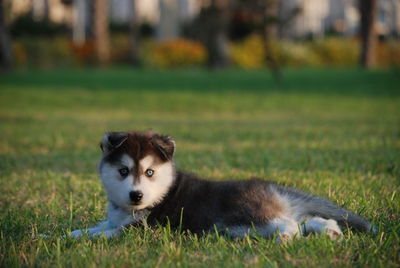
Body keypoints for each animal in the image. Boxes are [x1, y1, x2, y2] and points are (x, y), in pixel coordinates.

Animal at [70, 130, 374, 241]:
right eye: (123, 171)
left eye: (150, 172)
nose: (136, 195)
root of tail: (271, 187)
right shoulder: (117, 220)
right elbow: (99, 226)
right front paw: (75, 231)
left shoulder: (145, 228)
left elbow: (106, 233)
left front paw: (70, 238)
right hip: (242, 225)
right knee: (308, 221)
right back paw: (330, 231)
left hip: (251, 215)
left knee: (290, 225)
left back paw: (287, 239)